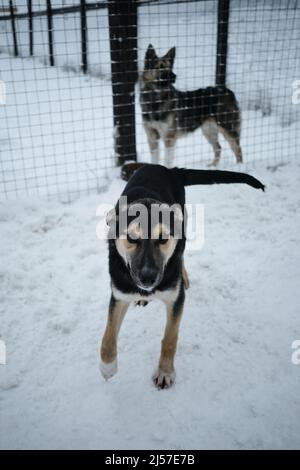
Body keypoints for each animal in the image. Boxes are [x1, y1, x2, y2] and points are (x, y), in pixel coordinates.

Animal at [99, 164, 264, 390]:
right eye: (131, 238)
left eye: (162, 239)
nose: (148, 278)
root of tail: (168, 168)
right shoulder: (119, 295)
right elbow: (107, 335)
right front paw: (107, 367)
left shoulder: (176, 299)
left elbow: (170, 339)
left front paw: (165, 372)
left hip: (183, 227)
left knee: (182, 254)